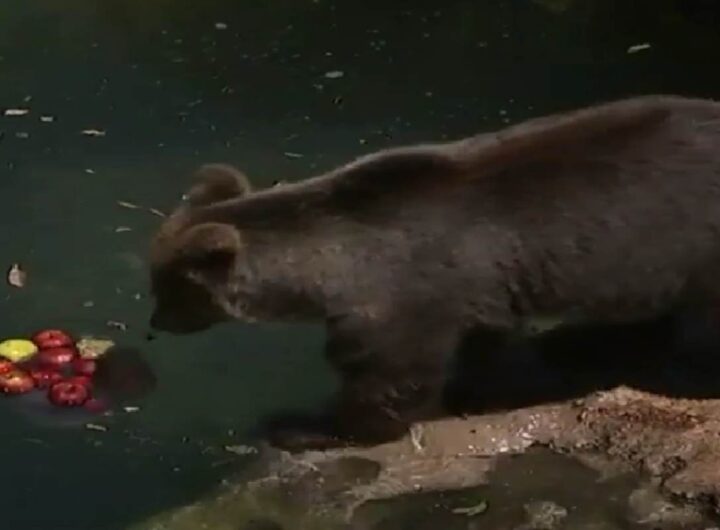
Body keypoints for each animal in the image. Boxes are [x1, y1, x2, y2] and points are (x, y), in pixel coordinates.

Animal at [148, 94, 720, 451]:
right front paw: (479, 388)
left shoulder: (401, 297)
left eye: (166, 288)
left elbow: (389, 377)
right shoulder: (479, 283)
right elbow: (482, 342)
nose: (155, 325)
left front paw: (303, 426)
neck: (325, 268)